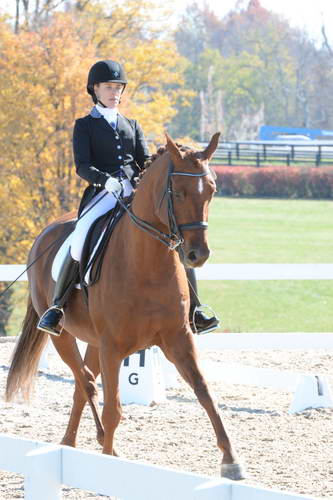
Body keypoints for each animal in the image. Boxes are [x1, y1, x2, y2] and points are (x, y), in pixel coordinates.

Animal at [5, 133, 244, 480]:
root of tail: (45, 233)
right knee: (86, 383)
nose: (197, 255)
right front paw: (109, 466)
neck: (148, 263)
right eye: (178, 191)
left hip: (94, 342)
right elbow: (114, 408)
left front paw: (231, 460)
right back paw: (93, 441)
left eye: (211, 190)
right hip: (63, 337)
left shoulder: (179, 340)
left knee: (83, 386)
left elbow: (205, 393)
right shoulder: (114, 348)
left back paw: (72, 442)